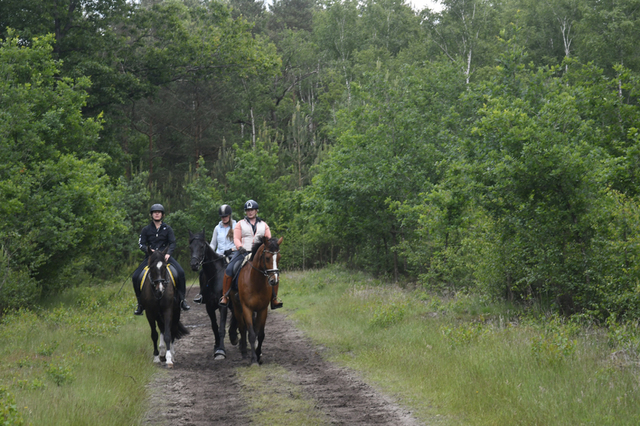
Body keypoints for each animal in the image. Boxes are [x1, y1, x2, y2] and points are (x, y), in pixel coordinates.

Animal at [191, 230, 241, 360]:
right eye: (190, 247)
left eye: (202, 246)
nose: (194, 265)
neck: (215, 275)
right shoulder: (209, 306)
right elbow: (214, 327)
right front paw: (217, 345)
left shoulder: (222, 305)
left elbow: (222, 327)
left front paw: (221, 351)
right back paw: (234, 336)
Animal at [229, 235, 282, 364]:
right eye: (267, 258)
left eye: (279, 257)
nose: (274, 280)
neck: (256, 282)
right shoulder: (247, 308)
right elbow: (252, 334)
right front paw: (253, 360)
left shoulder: (262, 309)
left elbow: (260, 334)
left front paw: (258, 355)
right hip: (237, 307)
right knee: (242, 328)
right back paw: (244, 352)